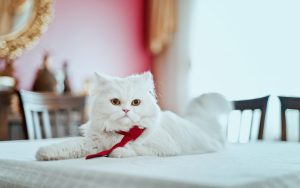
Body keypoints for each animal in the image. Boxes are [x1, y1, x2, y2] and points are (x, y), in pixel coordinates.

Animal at [35, 72, 232, 160]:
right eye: (115, 102)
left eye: (136, 102)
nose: (126, 110)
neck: (122, 133)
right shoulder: (92, 143)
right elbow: (67, 146)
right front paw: (43, 153)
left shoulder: (166, 148)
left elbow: (132, 149)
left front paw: (118, 151)